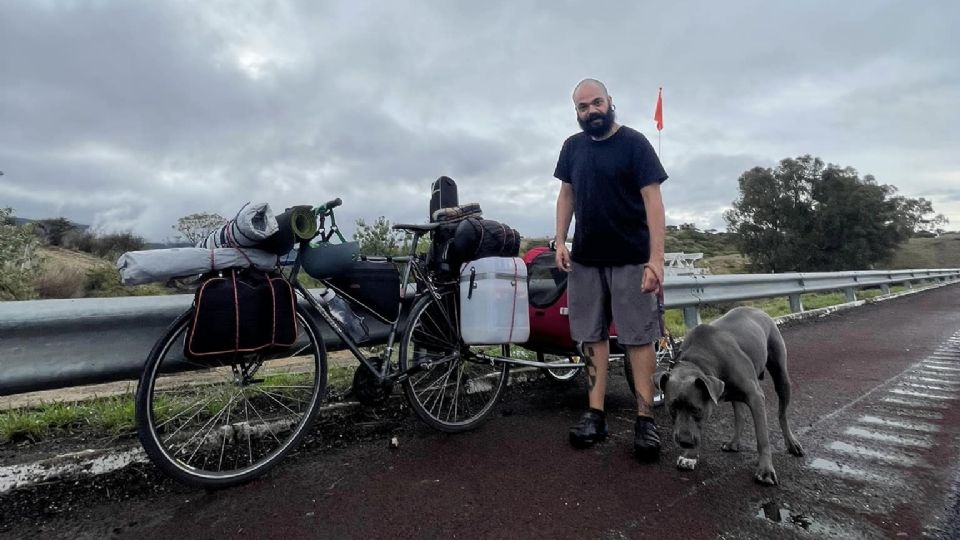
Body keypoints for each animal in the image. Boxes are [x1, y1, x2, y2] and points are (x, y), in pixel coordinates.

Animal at [656, 308, 808, 486]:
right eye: (672, 409)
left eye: (696, 410)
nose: (684, 442)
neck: (699, 359)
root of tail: (759, 311)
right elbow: (698, 428)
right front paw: (690, 456)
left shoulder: (755, 397)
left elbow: (762, 438)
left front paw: (765, 470)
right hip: (736, 394)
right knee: (740, 414)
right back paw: (733, 443)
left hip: (781, 378)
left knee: (782, 414)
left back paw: (792, 443)